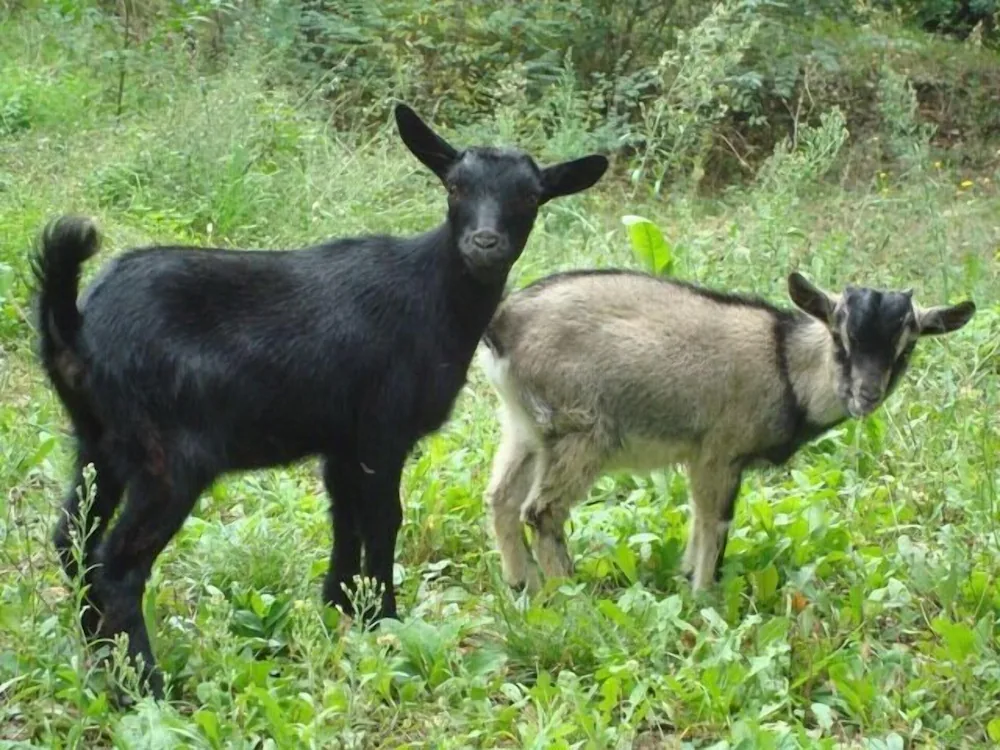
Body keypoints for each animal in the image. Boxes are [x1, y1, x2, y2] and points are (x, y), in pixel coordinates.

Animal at [33, 103, 608, 704]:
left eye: (530, 197)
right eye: (455, 186)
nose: (484, 243)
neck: (433, 296)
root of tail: (75, 325)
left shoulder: (342, 441)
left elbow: (343, 516)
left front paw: (339, 603)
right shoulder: (383, 430)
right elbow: (383, 519)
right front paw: (384, 618)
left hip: (100, 442)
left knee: (72, 539)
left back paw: (99, 658)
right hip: (169, 458)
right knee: (117, 565)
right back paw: (146, 685)